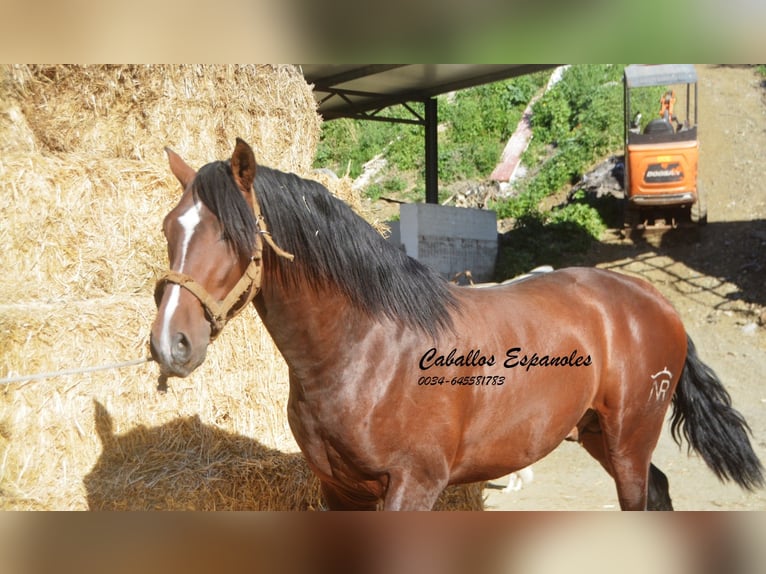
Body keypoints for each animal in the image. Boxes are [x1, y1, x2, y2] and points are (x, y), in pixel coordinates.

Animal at [150, 140, 760, 512]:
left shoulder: (413, 487)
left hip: (629, 438)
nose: (168, 344)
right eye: (168, 227)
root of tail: (650, 297)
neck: (369, 352)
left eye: (232, 235)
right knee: (658, 490)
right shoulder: (339, 490)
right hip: (596, 434)